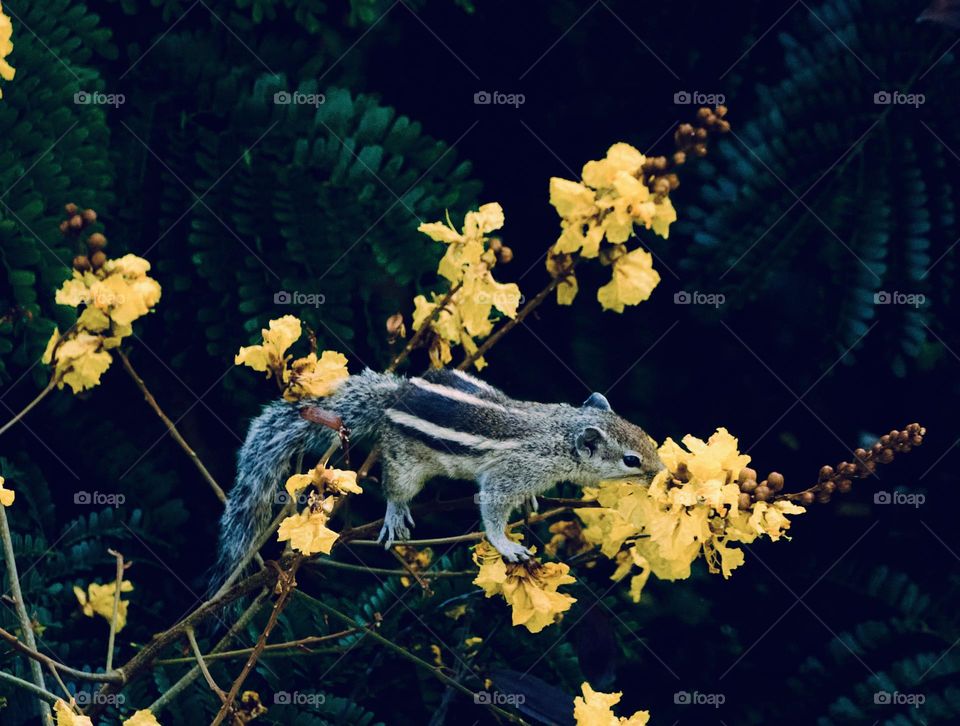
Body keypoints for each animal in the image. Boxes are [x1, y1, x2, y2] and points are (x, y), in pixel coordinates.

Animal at [213, 367, 663, 586]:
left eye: (642, 433)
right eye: (630, 460)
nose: (660, 472)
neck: (557, 433)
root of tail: (393, 396)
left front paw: (532, 501)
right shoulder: (511, 472)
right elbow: (492, 509)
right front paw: (507, 544)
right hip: (404, 461)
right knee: (396, 487)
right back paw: (394, 513)